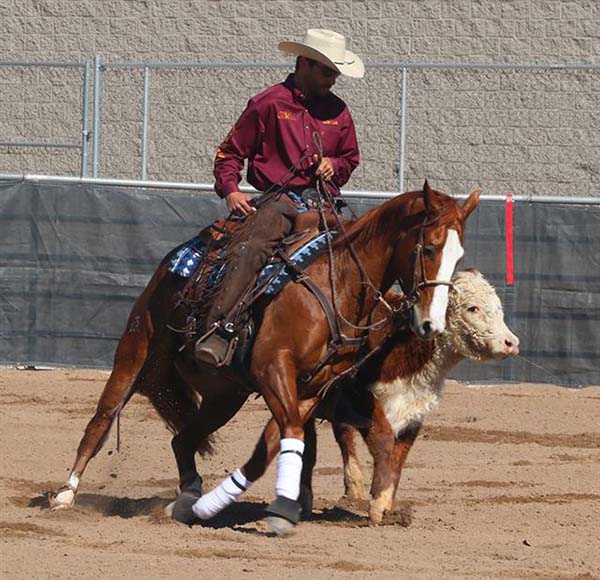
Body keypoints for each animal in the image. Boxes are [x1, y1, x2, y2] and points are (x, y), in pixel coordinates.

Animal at [54, 181, 480, 536]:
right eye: (428, 247)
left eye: (459, 256)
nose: (430, 324)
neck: (336, 282)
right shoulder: (273, 369)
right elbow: (291, 434)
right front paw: (283, 511)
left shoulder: (311, 388)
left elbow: (273, 446)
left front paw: (220, 506)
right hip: (136, 351)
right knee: (102, 420)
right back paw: (65, 494)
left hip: (225, 394)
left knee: (183, 439)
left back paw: (189, 497)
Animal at [199, 270, 516, 524]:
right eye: (473, 308)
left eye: (499, 307)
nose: (511, 342)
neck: (404, 347)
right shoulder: (358, 399)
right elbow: (378, 440)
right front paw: (376, 506)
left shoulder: (414, 413)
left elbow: (398, 457)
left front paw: (387, 505)